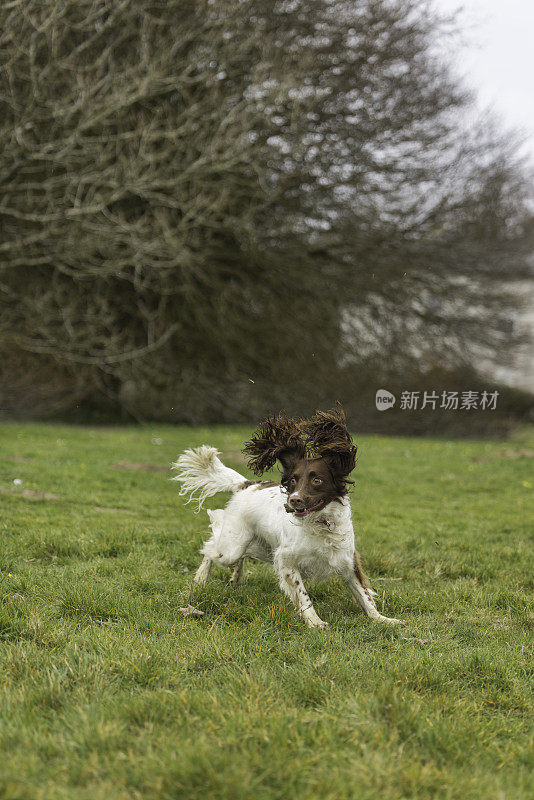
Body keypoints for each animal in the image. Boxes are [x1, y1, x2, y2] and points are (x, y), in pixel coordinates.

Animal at [174, 404, 404, 628]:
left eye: (317, 480)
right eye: (293, 481)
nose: (293, 500)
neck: (320, 523)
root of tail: (247, 484)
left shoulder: (347, 559)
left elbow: (364, 595)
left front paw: (383, 620)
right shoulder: (286, 559)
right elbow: (303, 595)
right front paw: (315, 622)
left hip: (258, 545)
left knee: (239, 556)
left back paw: (235, 579)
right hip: (232, 546)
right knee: (211, 546)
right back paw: (201, 579)